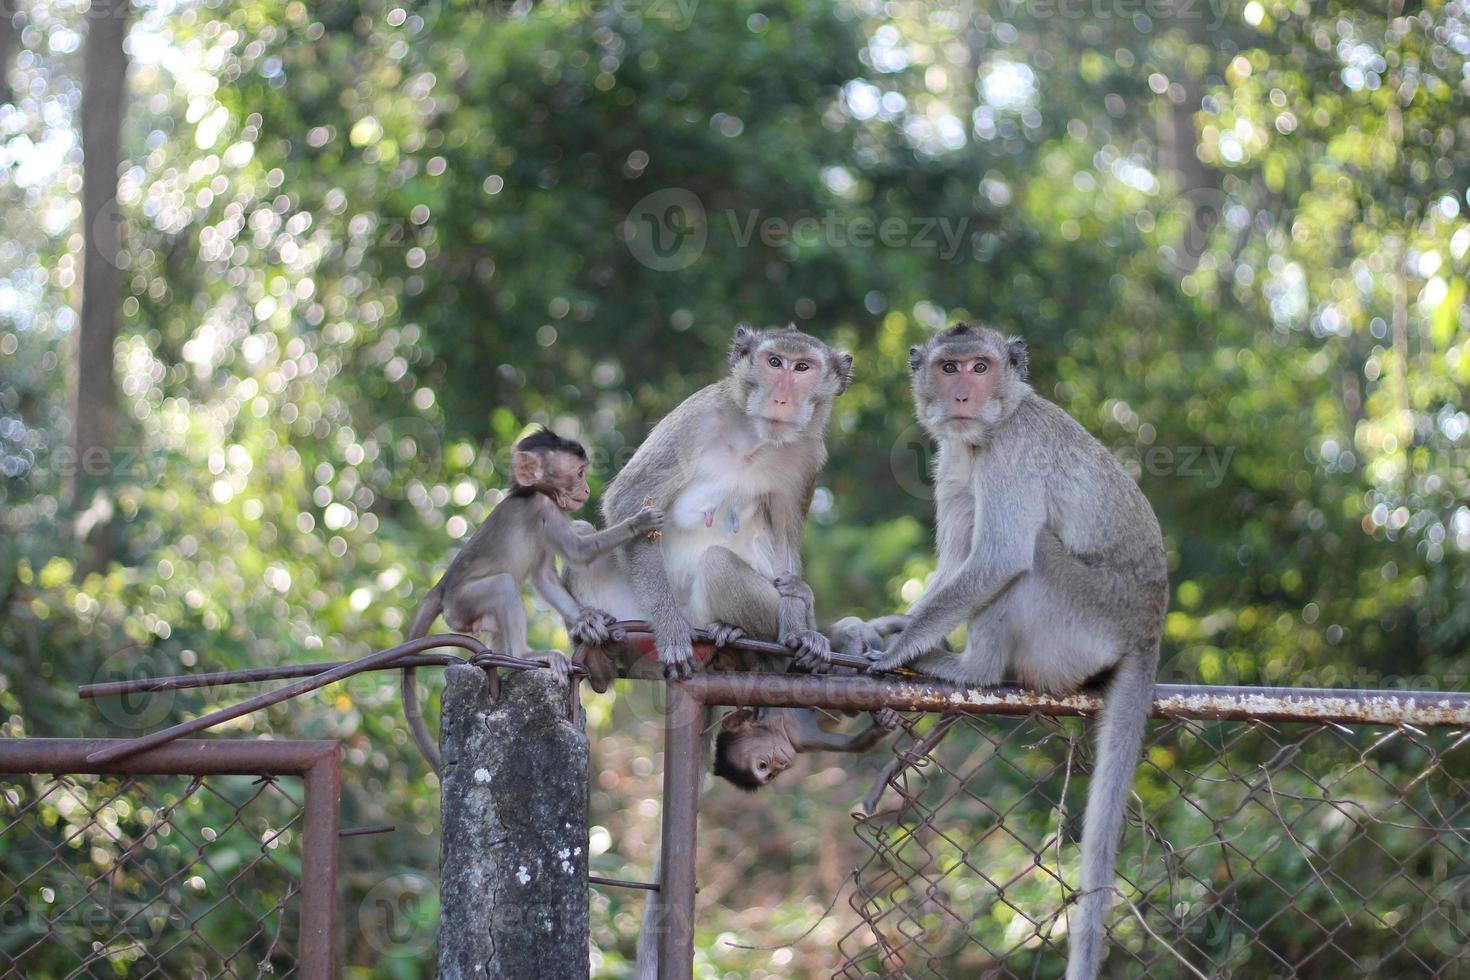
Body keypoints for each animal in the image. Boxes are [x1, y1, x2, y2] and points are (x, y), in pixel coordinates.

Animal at [396, 429, 661, 775]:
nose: (587, 489)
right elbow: (578, 552)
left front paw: (586, 620)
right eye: (579, 473)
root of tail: (440, 588)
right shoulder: (544, 509)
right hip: (463, 601)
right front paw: (639, 523)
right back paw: (525, 655)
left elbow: (545, 577)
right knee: (504, 586)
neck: (531, 492)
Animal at [864, 323, 1164, 980]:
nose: (963, 395)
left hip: (1083, 623)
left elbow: (999, 557)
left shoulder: (1011, 452)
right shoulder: (955, 455)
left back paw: (967, 667)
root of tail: (1148, 630)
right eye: (949, 368)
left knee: (1031, 558)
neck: (991, 428)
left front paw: (899, 648)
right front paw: (901, 627)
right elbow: (958, 557)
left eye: (981, 366)